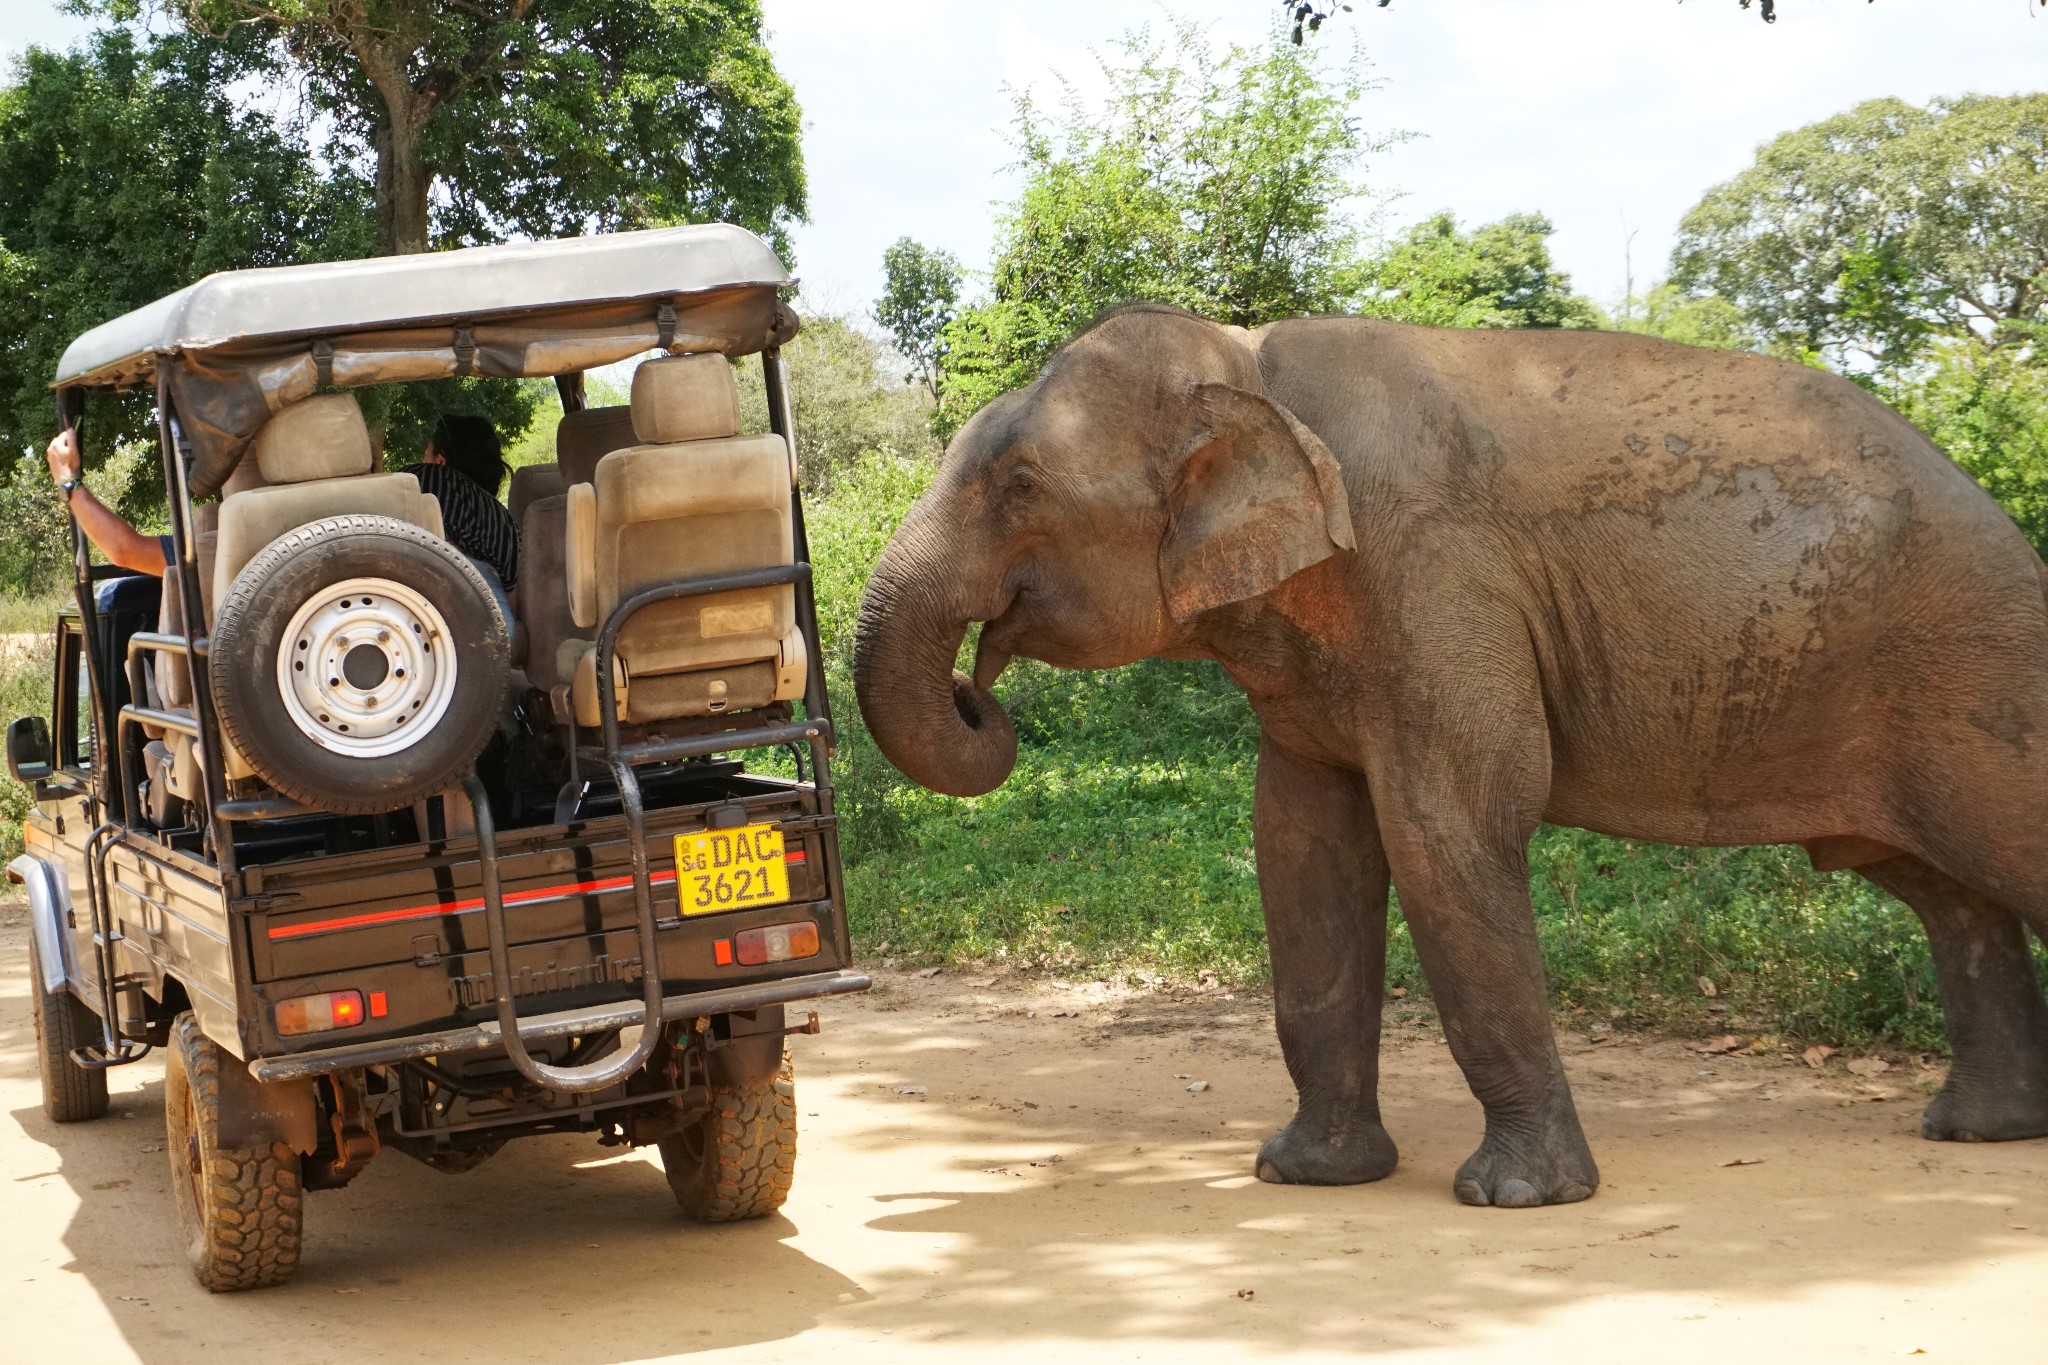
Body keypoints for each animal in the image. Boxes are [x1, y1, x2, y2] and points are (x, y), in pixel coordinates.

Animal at [847, 306, 2048, 1203]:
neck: (1250, 365)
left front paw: (1513, 1197)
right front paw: (1305, 1177)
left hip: (1974, 668)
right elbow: (1301, 850)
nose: (978, 686)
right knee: (1939, 891)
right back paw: (1977, 1132)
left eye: (1019, 487)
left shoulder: (1435, 575)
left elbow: (1449, 828)